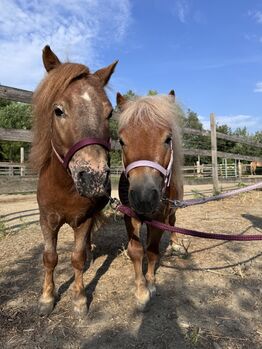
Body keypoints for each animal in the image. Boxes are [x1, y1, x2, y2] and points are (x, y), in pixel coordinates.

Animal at [29, 46, 117, 316]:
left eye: (110, 113)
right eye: (58, 110)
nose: (94, 177)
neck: (64, 188)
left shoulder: (84, 220)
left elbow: (77, 258)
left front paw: (79, 299)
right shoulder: (47, 220)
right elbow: (50, 258)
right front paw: (47, 298)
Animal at [117, 90, 184, 308]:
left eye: (168, 139)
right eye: (121, 141)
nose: (144, 197)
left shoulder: (159, 218)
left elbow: (153, 250)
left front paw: (151, 283)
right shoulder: (130, 216)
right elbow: (137, 250)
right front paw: (141, 290)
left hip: (172, 209)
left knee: (173, 222)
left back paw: (176, 245)